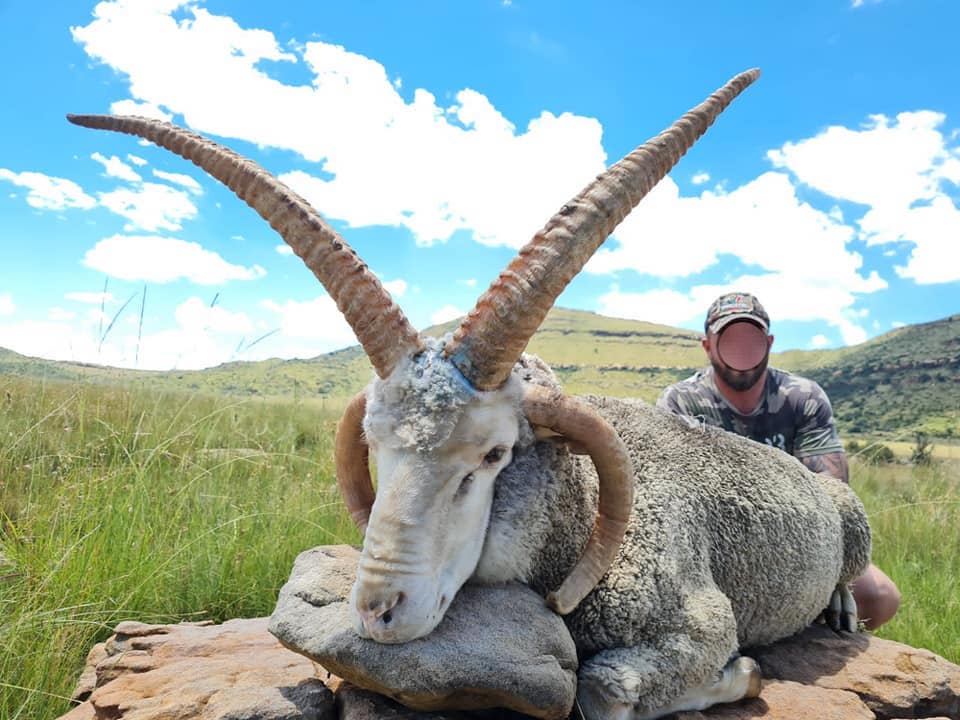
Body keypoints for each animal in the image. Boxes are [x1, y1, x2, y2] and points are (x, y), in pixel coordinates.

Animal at [68, 67, 872, 719]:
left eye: (492, 456)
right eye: (375, 444)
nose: (380, 612)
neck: (583, 513)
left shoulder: (700, 620)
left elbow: (605, 688)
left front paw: (746, 674)